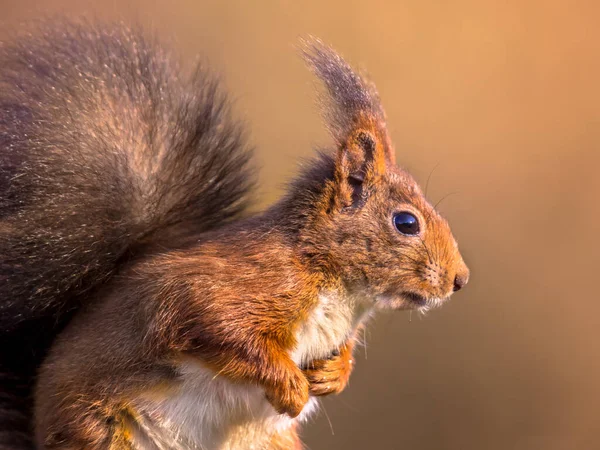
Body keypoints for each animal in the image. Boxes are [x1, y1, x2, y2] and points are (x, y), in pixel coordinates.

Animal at [0, 20, 468, 450]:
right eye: (406, 223)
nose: (459, 279)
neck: (341, 289)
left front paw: (334, 374)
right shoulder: (232, 288)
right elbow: (226, 332)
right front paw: (290, 385)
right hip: (101, 430)